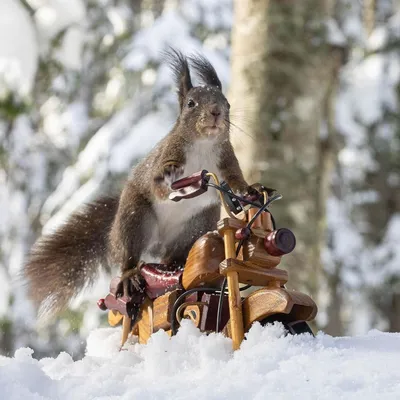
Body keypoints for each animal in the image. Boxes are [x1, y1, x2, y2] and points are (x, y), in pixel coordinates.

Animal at [25, 49, 255, 318]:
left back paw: (177, 265)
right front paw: (170, 179)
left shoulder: (226, 160)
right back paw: (129, 276)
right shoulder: (165, 155)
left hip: (195, 226)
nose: (216, 112)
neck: (204, 144)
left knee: (172, 258)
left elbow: (235, 180)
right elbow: (158, 183)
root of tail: (159, 242)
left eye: (227, 103)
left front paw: (248, 191)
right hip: (135, 220)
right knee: (129, 256)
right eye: (191, 104)